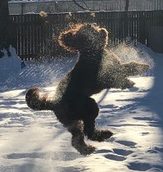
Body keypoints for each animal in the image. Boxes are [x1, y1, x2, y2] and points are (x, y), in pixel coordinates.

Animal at [26, 23, 150, 155]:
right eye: (91, 28)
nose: (101, 29)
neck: (91, 51)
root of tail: (54, 103)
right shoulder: (105, 76)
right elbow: (118, 76)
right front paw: (128, 82)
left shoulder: (116, 66)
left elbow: (129, 66)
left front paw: (143, 67)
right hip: (89, 107)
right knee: (88, 131)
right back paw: (102, 136)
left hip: (73, 122)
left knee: (77, 139)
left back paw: (88, 148)